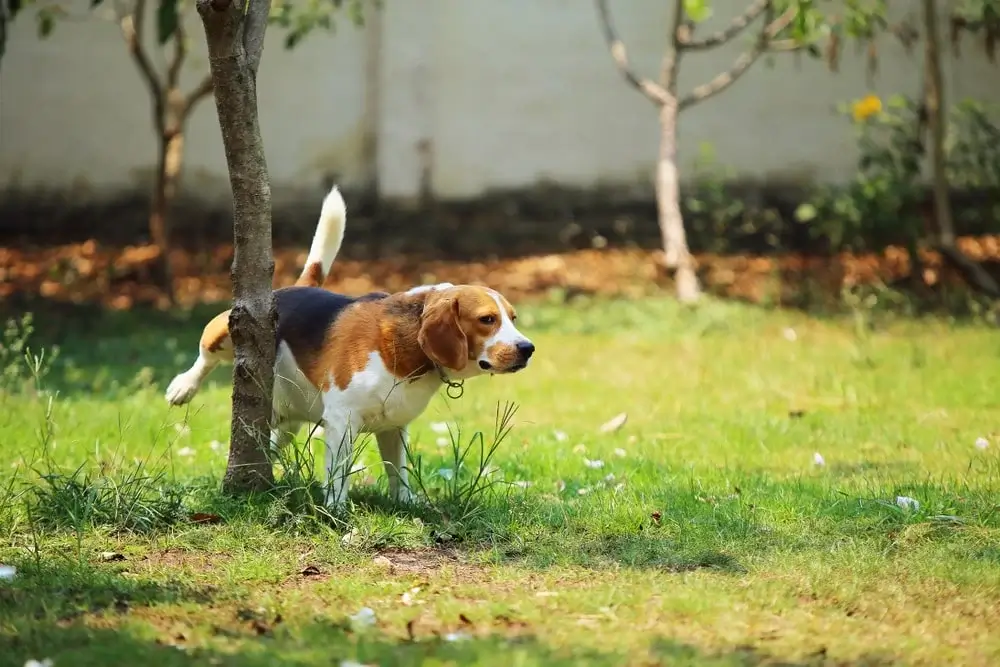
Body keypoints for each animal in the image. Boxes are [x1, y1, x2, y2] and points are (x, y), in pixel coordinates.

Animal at [163, 185, 536, 508]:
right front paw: (337, 510)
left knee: (275, 440)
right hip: (226, 330)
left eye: (513, 317)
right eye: (487, 319)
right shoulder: (342, 421)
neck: (408, 347)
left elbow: (398, 472)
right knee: (205, 355)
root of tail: (298, 287)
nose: (527, 348)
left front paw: (406, 503)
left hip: (288, 418)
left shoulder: (393, 427)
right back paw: (183, 386)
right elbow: (338, 475)